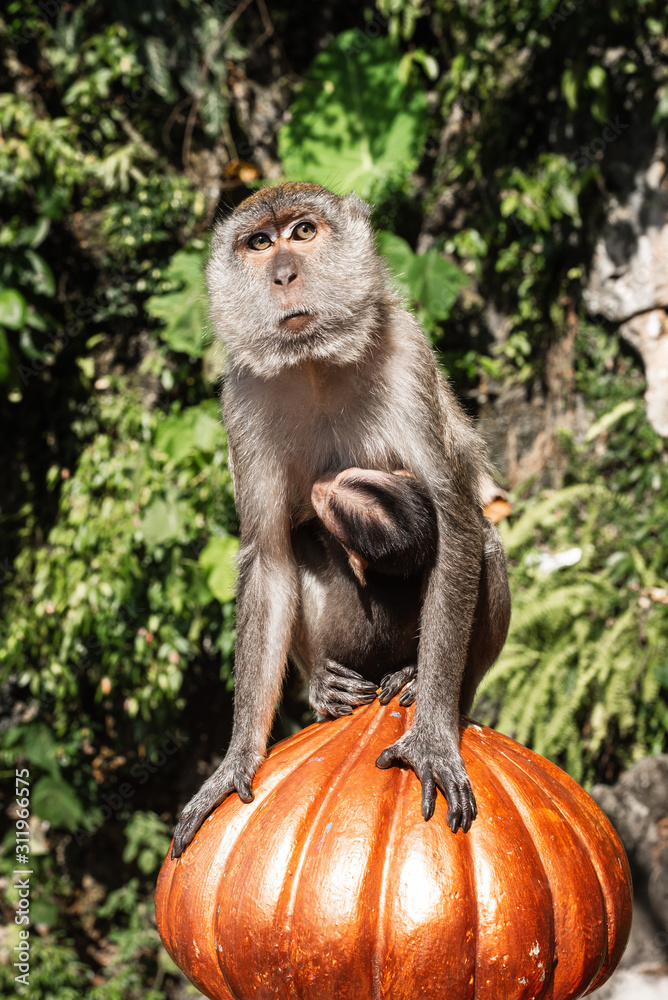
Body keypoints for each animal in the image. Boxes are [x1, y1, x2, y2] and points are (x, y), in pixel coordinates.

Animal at [171, 182, 511, 859]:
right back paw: (328, 693)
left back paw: (423, 686)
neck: (315, 364)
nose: (282, 274)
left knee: (483, 544)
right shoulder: (241, 397)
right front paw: (236, 758)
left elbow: (457, 521)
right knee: (299, 543)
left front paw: (433, 737)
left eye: (302, 232)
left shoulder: (407, 351)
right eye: (258, 242)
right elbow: (269, 557)